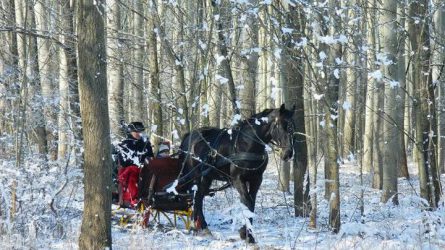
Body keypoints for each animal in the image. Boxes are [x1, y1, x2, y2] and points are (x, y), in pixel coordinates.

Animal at [177, 103, 294, 242]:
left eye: (292, 126)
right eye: (282, 125)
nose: (288, 153)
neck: (248, 143)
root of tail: (189, 136)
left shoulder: (256, 179)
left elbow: (251, 203)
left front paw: (248, 235)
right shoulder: (237, 179)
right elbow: (246, 201)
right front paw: (246, 233)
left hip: (206, 177)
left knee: (198, 197)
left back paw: (201, 227)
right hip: (195, 176)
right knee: (195, 197)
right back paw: (201, 226)